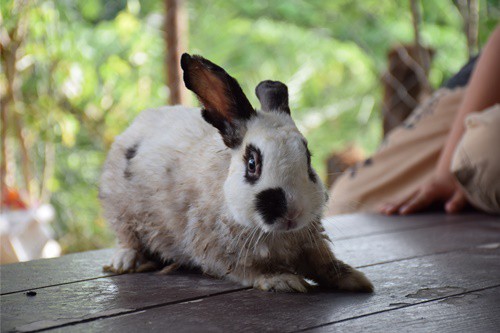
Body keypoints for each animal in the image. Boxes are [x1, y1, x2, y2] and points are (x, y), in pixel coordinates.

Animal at [99, 53, 374, 292]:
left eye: (308, 158)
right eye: (252, 164)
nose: (292, 214)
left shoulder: (310, 240)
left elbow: (325, 264)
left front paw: (355, 279)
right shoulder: (216, 250)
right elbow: (250, 271)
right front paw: (283, 280)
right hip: (121, 212)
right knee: (127, 239)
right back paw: (125, 261)